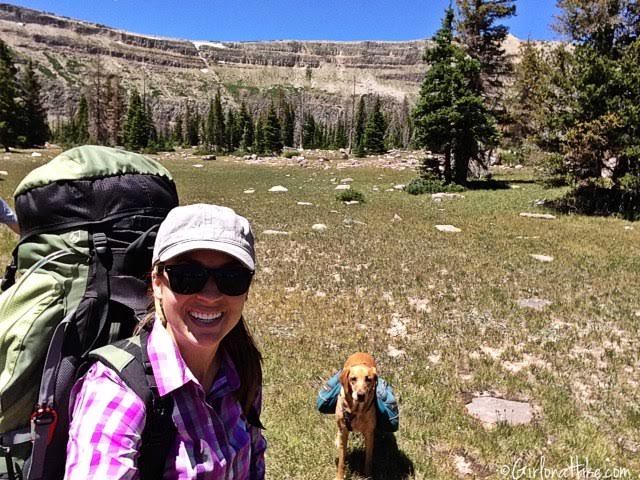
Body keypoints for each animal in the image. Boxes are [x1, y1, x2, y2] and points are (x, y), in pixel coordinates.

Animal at [332, 350, 378, 478]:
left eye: (368, 379)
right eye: (353, 379)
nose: (361, 395)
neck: (357, 411)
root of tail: (361, 352)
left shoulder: (369, 434)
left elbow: (368, 459)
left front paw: (367, 476)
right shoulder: (344, 431)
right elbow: (342, 460)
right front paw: (339, 477)